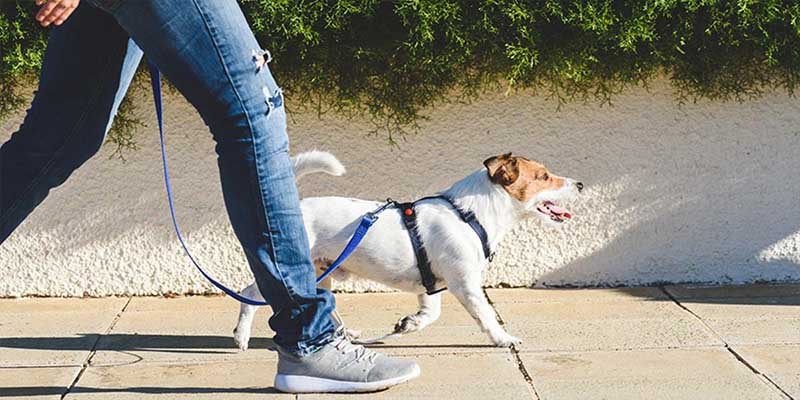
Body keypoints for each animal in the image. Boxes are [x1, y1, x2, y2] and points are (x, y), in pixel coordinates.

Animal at [233, 150, 582, 349]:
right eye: (543, 177)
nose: (579, 185)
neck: (470, 214)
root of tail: (295, 209)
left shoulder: (432, 284)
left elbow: (431, 313)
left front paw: (410, 324)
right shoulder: (465, 284)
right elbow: (486, 315)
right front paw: (503, 339)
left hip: (321, 273)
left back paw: (345, 334)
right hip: (292, 272)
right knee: (249, 294)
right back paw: (241, 336)